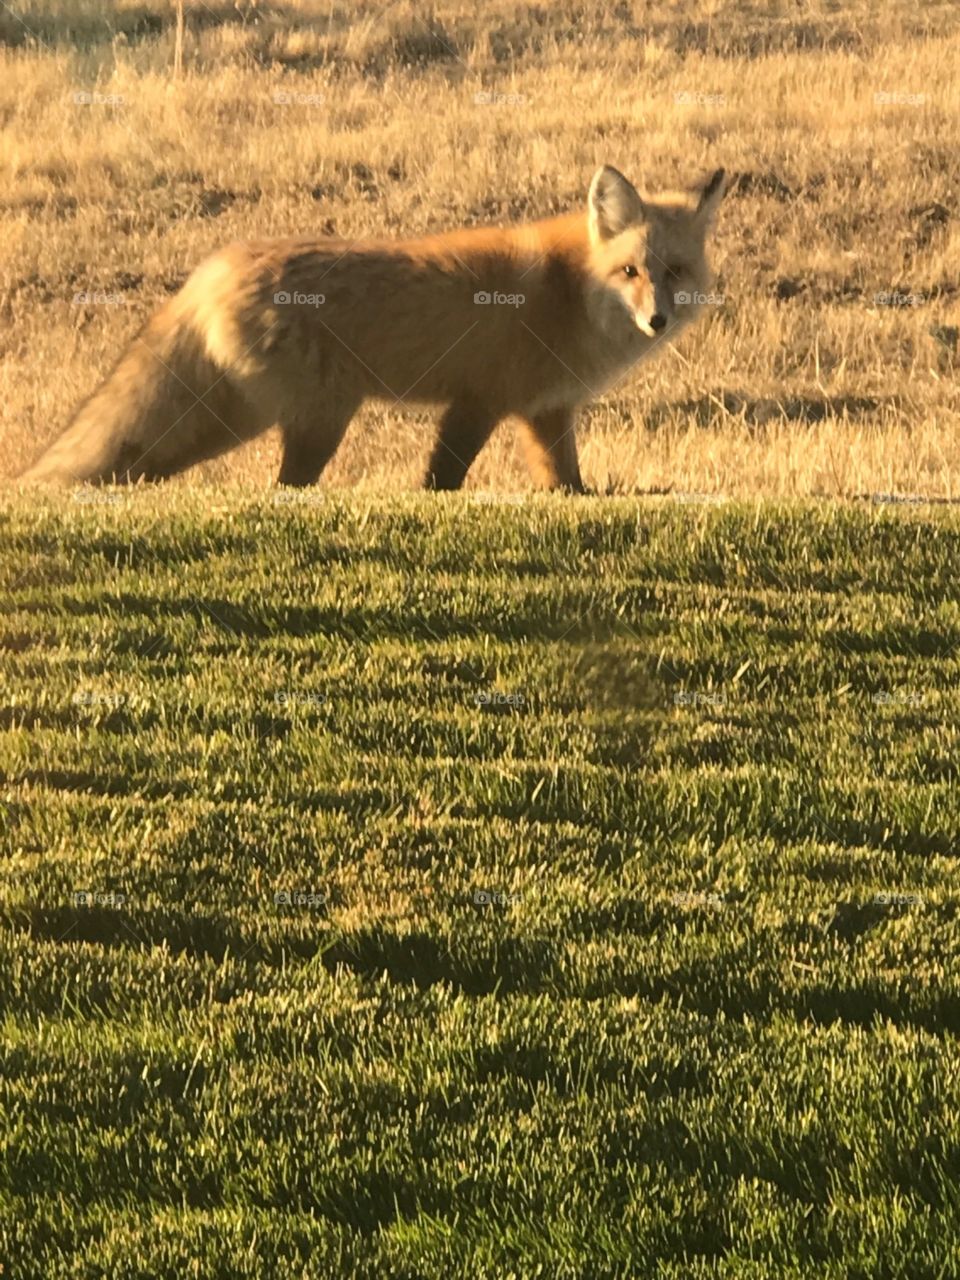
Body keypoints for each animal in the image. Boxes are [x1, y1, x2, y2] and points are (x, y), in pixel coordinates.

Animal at [20, 164, 726, 493]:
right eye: (630, 271)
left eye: (675, 271)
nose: (658, 319)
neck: (570, 290)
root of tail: (214, 265)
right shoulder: (478, 400)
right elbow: (441, 480)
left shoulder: (545, 412)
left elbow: (567, 485)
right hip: (314, 417)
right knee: (284, 489)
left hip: (245, 421)